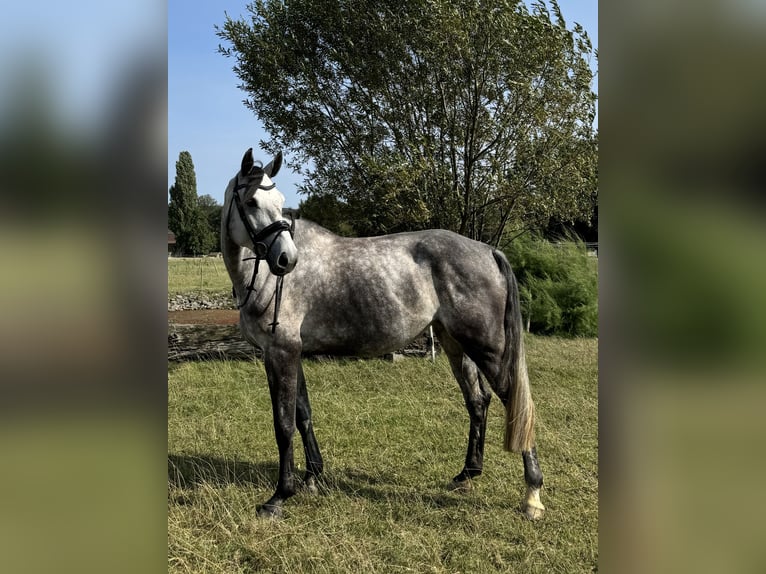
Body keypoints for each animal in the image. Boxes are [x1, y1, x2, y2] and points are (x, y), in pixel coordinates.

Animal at [222, 150, 544, 520]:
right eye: (251, 201)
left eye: (279, 201)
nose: (287, 259)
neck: (263, 277)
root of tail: (488, 251)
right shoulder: (292, 353)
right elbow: (303, 414)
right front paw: (312, 477)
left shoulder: (280, 352)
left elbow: (284, 423)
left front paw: (279, 496)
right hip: (455, 344)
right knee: (478, 401)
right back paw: (467, 474)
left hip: (486, 346)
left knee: (514, 403)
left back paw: (532, 495)